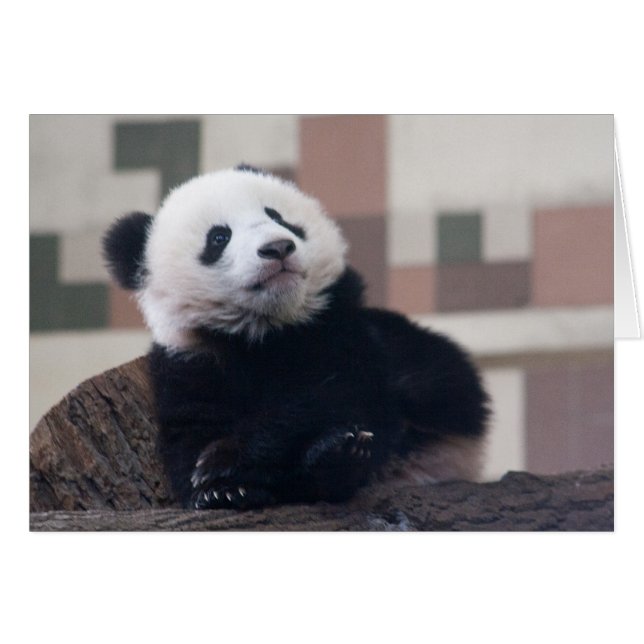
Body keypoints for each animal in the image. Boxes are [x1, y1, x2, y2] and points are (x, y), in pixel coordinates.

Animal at [102, 164, 490, 510]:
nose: (277, 247)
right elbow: (189, 431)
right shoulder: (191, 358)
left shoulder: (339, 328)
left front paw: (224, 460)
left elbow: (330, 394)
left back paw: (339, 456)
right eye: (219, 237)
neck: (264, 330)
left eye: (279, 217)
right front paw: (220, 490)